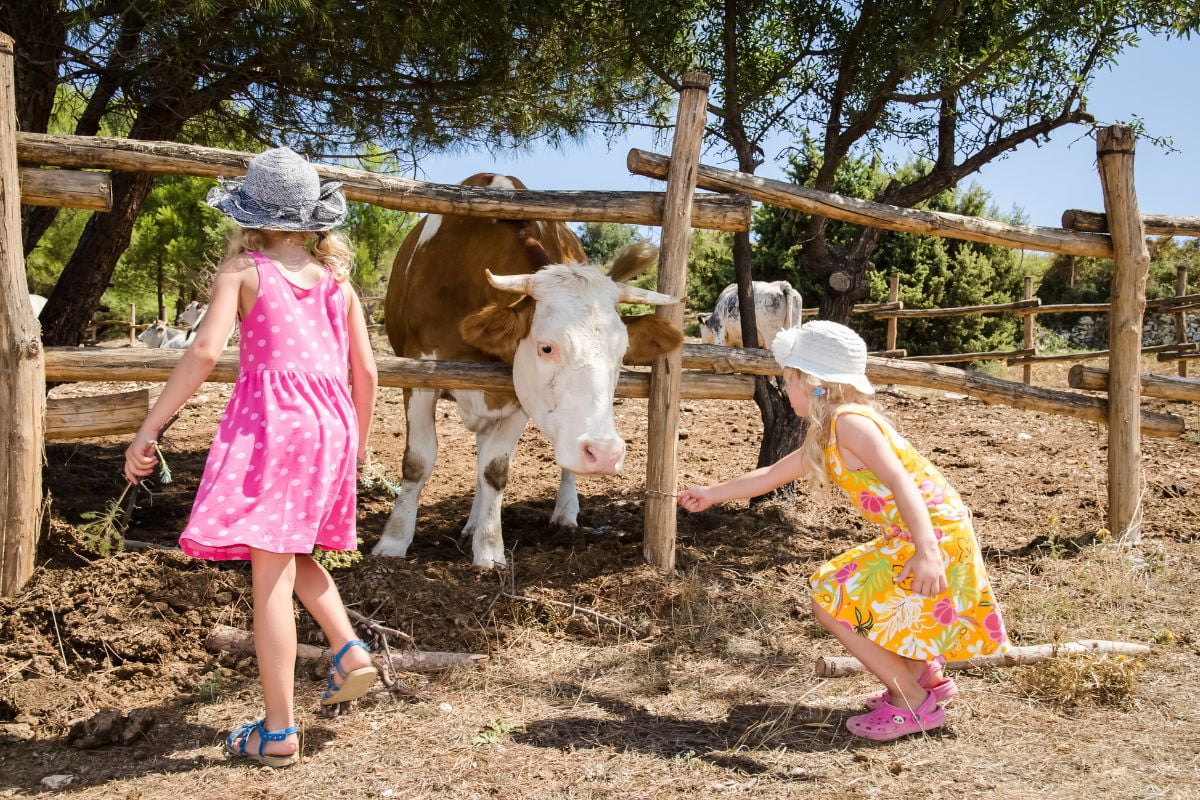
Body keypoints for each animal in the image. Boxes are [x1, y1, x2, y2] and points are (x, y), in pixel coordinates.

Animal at [372, 172, 686, 566]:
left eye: (622, 353)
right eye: (546, 347)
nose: (605, 454)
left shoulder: (517, 392)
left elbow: (495, 468)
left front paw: (489, 547)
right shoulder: (418, 373)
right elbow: (418, 460)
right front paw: (393, 541)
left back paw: (562, 512)